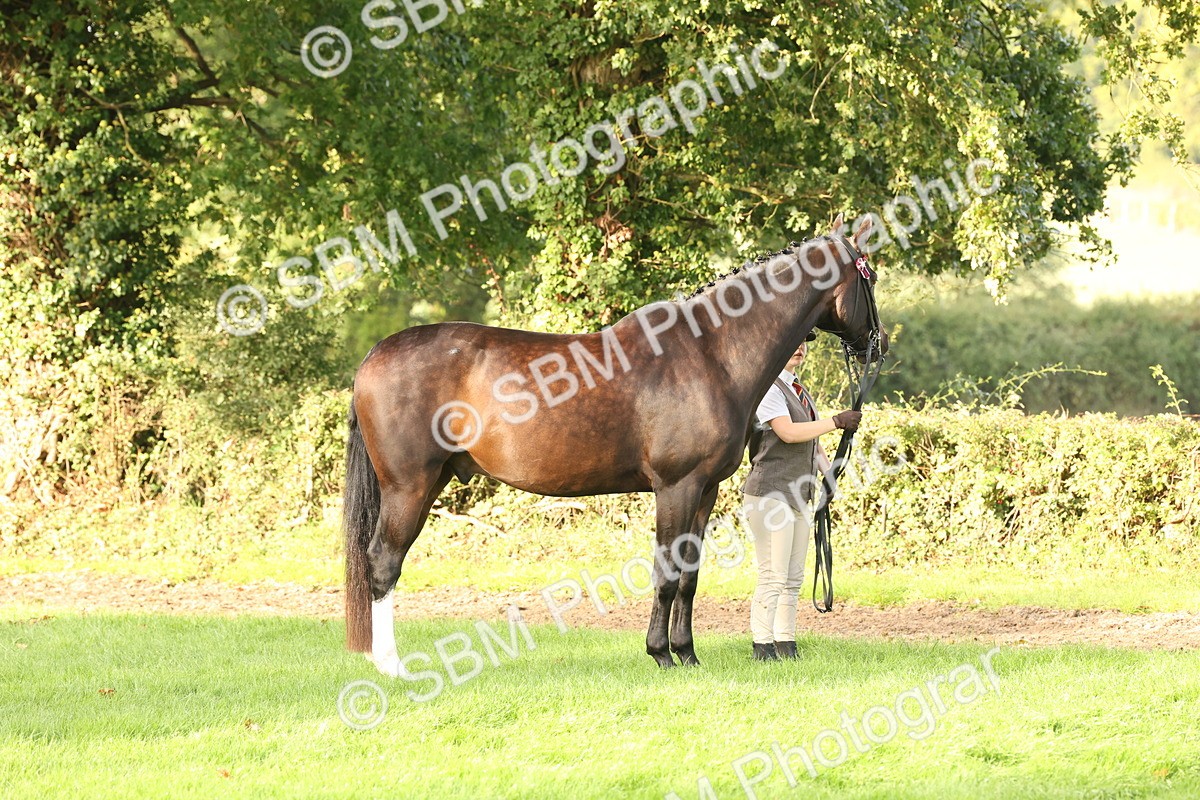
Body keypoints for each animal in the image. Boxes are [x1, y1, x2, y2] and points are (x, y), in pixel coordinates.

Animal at [343, 214, 887, 673]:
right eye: (872, 278)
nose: (878, 345)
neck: (712, 351)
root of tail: (373, 356)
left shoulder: (705, 490)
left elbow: (689, 576)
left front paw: (687, 653)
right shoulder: (676, 487)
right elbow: (666, 572)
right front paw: (660, 654)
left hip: (430, 482)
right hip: (407, 487)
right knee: (383, 562)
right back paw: (390, 666)